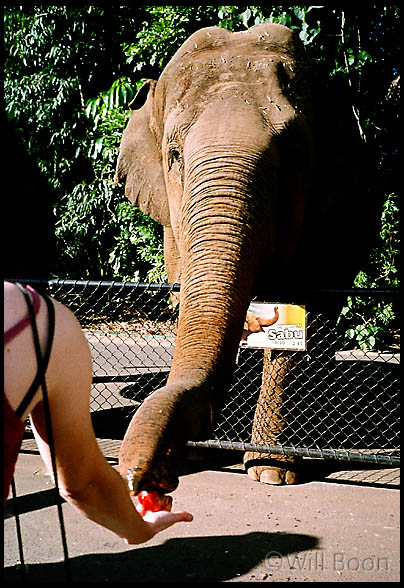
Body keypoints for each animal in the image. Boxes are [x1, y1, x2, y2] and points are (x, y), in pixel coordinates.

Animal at [115, 21, 378, 492]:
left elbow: (297, 317)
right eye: (174, 156)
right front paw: (202, 452)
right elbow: (187, 301)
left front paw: (271, 472)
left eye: (293, 156)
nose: (137, 476)